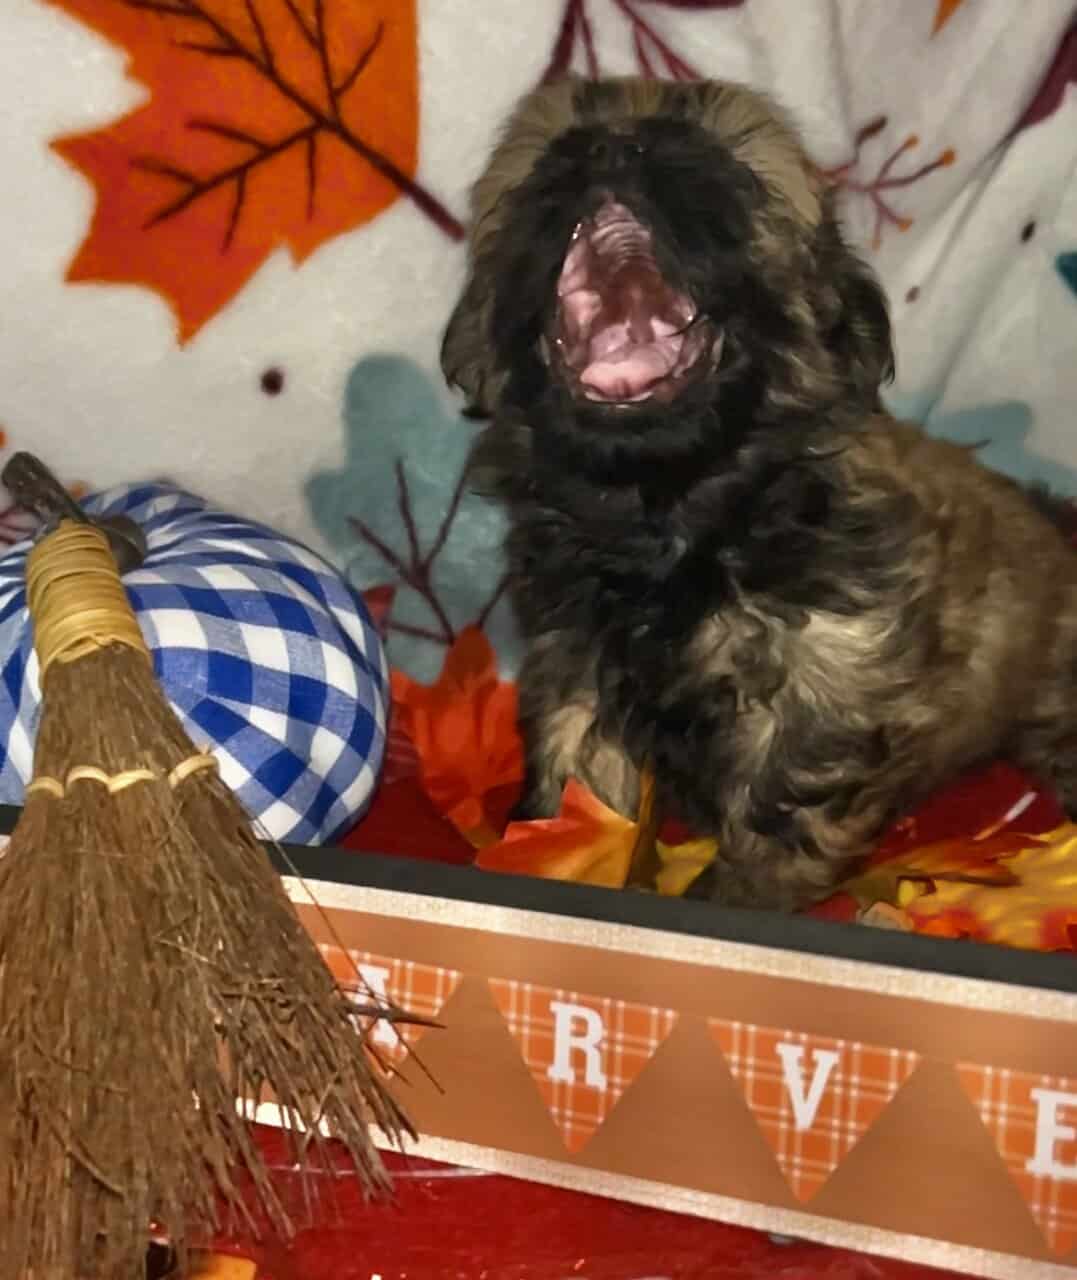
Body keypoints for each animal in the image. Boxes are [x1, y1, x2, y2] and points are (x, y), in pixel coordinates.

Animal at [440, 76, 1077, 910]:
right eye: (548, 148)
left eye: (714, 153)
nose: (611, 143)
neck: (672, 517)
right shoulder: (576, 665)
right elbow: (577, 789)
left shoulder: (824, 682)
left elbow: (776, 820)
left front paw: (732, 902)